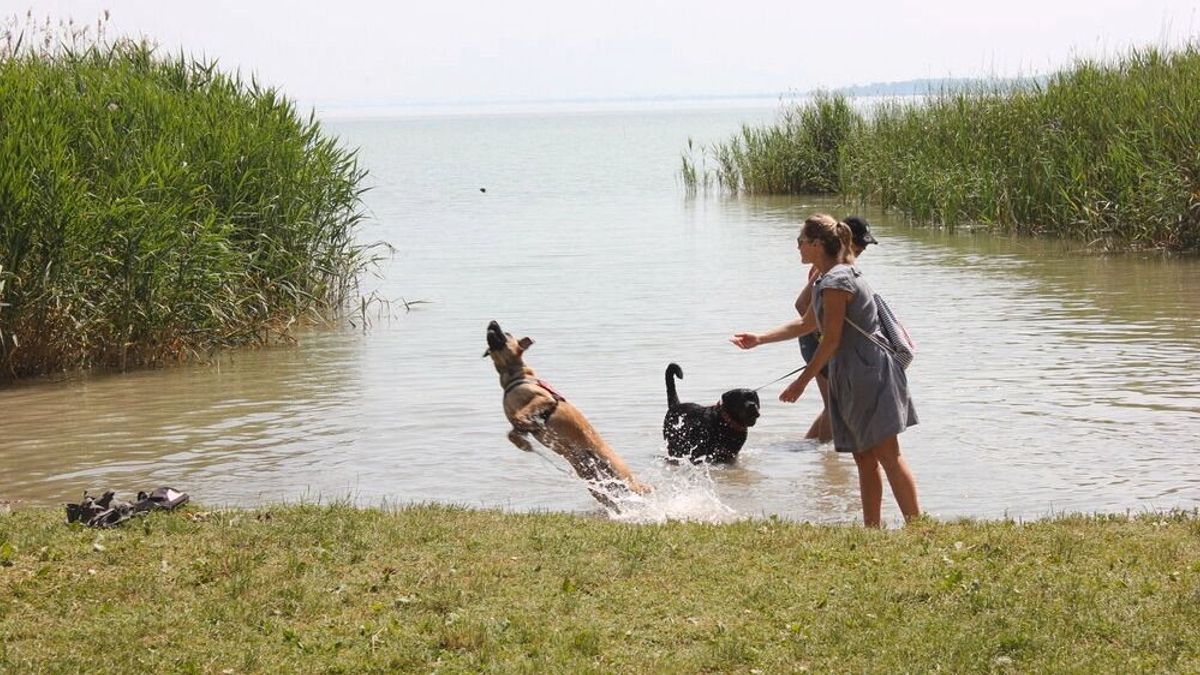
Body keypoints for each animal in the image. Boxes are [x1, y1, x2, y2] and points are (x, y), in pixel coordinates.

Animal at [482, 317, 648, 506]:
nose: (492, 321)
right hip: (596, 483)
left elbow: (524, 413)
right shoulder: (518, 426)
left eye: (507, 333)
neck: (514, 376)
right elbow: (512, 433)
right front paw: (524, 444)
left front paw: (527, 422)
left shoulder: (546, 400)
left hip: (620, 472)